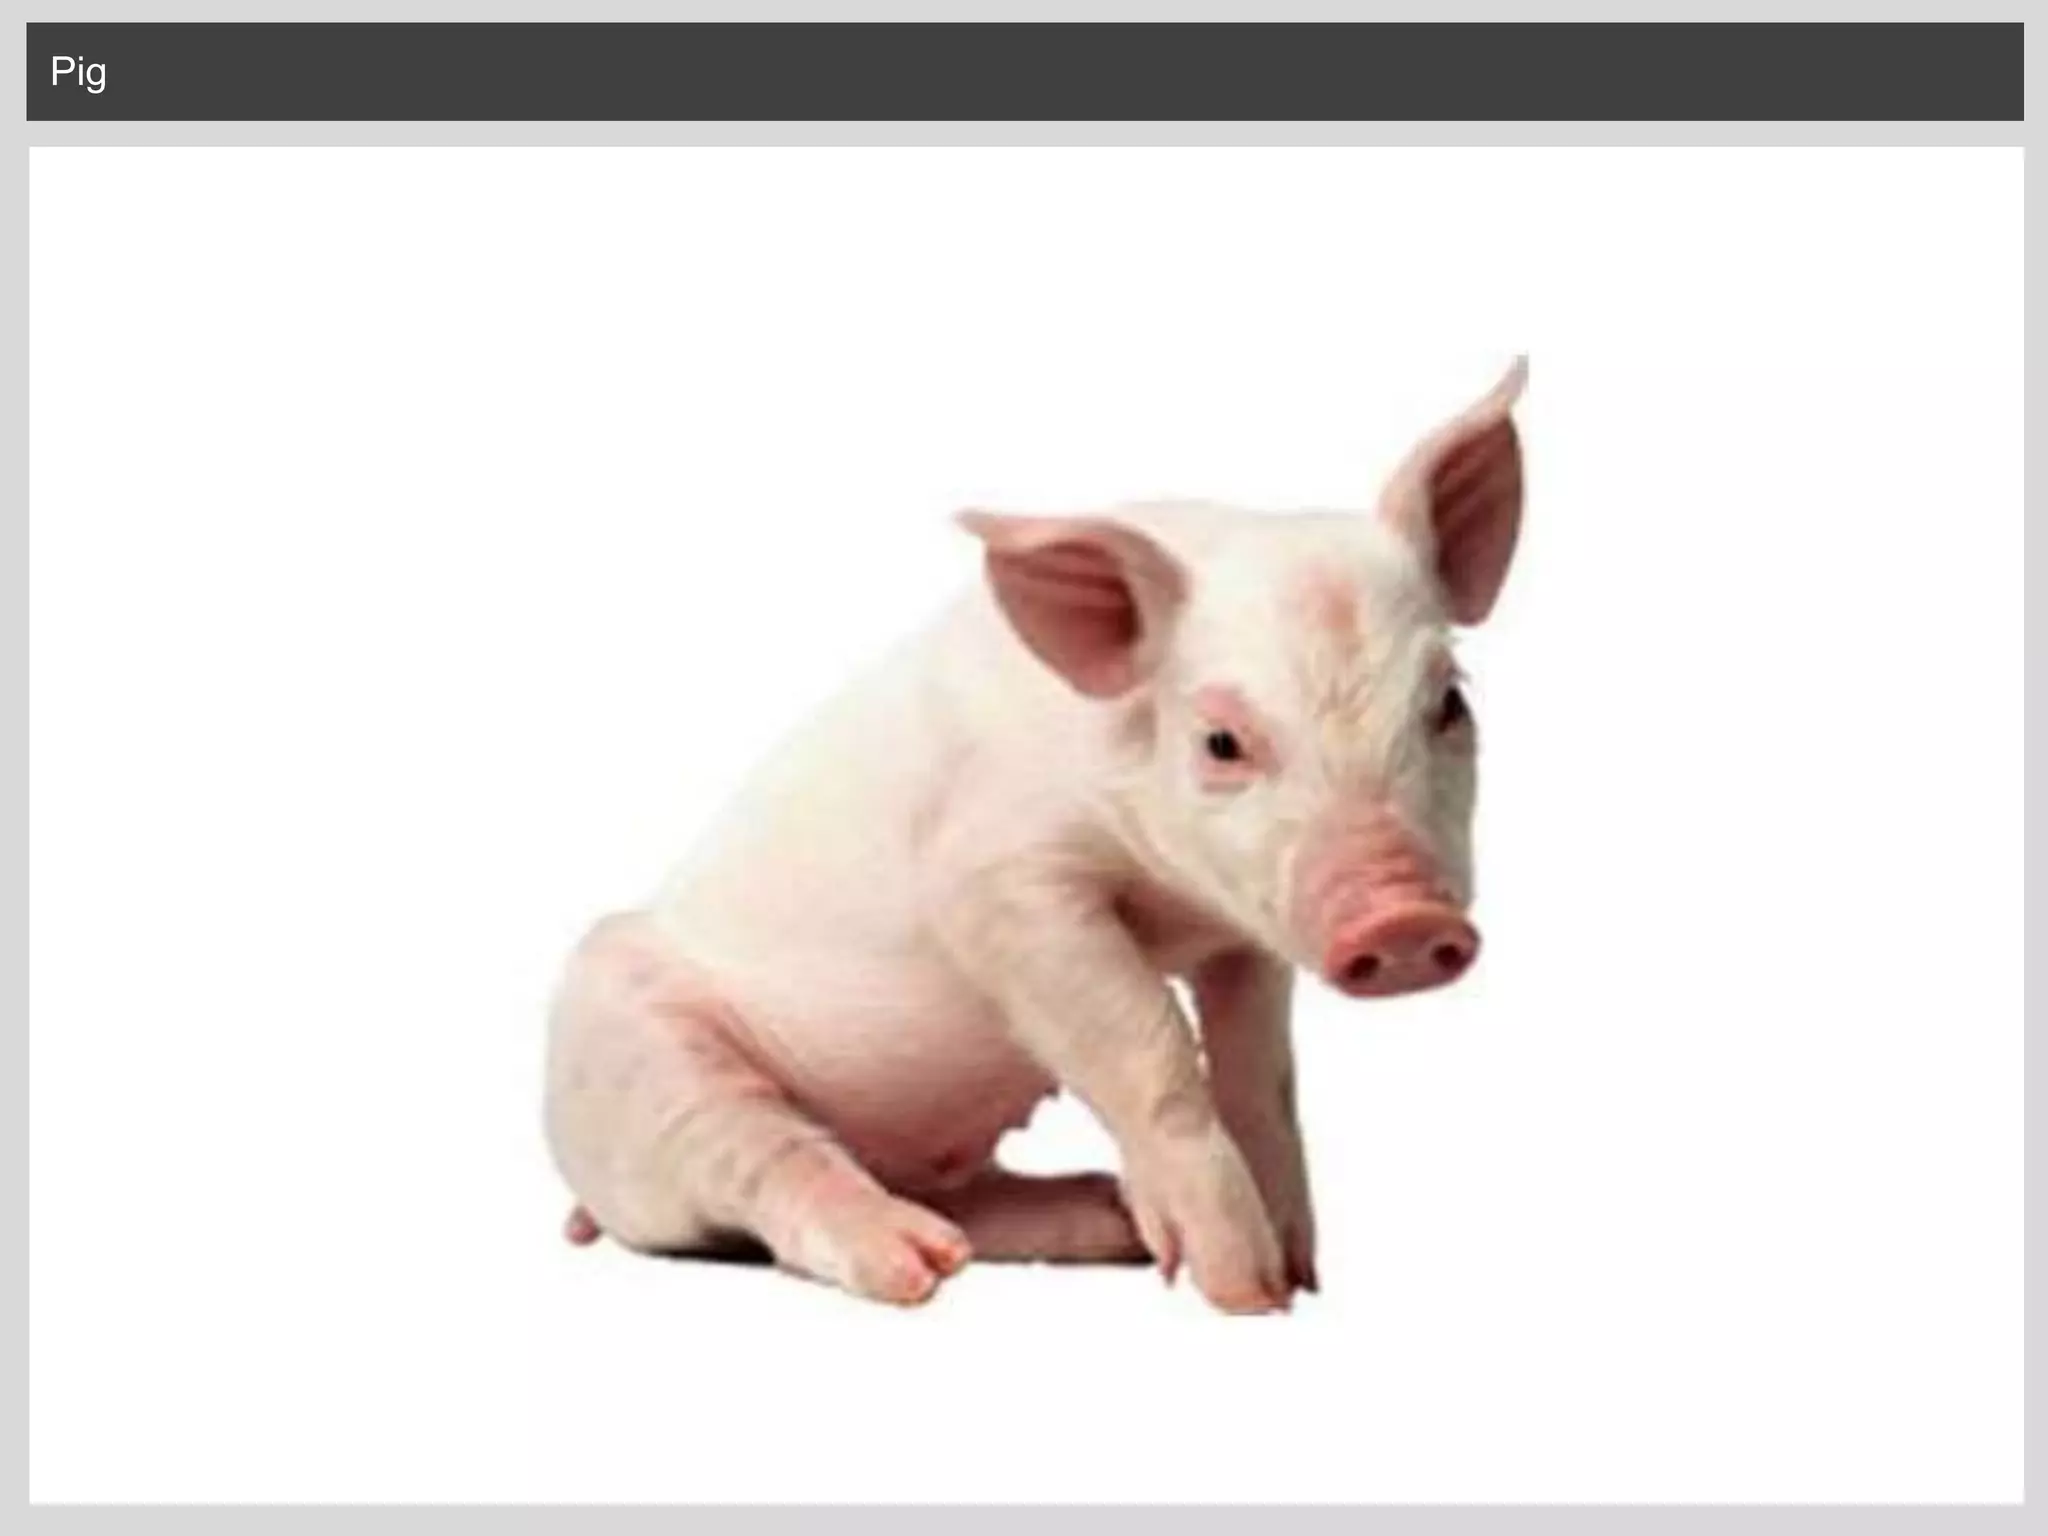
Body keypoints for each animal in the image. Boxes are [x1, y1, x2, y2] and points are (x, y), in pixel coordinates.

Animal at [545, 359, 1528, 1314]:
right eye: (1222, 741)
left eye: (1449, 702)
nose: (1405, 921)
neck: (1172, 898)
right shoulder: (996, 882)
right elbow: (1148, 1044)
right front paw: (1242, 1294)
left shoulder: (1246, 931)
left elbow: (1261, 1072)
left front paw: (1299, 1274)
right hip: (644, 1059)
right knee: (770, 1169)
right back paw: (919, 1269)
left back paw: (1100, 1220)